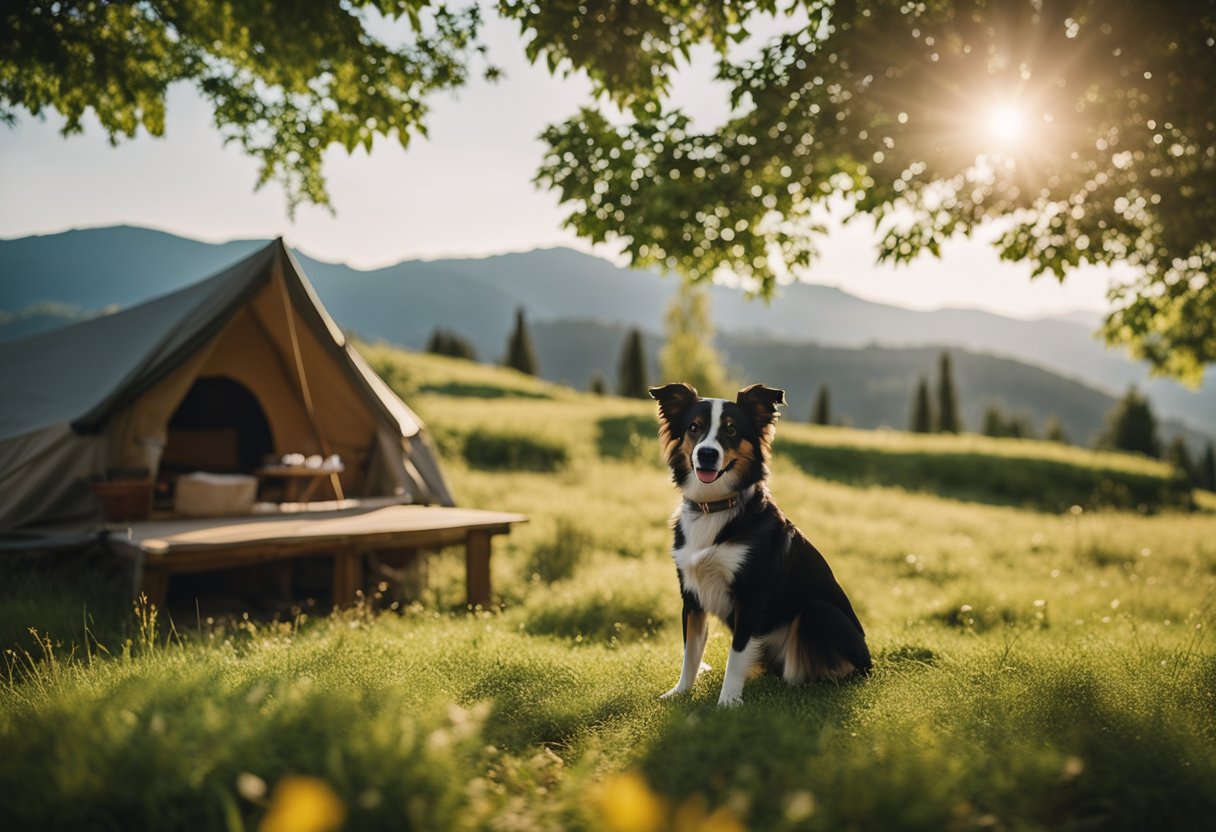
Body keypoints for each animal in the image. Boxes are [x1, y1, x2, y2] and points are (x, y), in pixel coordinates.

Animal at [651, 379, 870, 705]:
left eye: (731, 429)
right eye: (693, 427)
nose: (706, 454)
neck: (714, 507)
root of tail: (870, 661)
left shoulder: (752, 595)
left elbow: (736, 653)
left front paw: (727, 704)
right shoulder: (691, 595)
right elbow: (690, 652)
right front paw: (680, 693)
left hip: (819, 611)